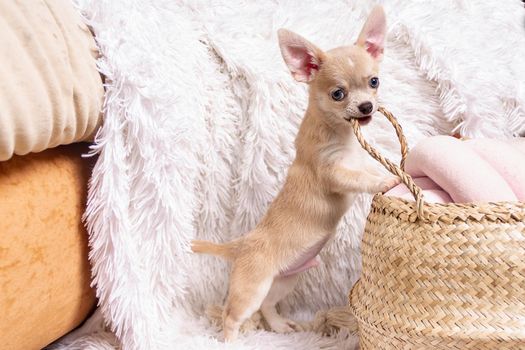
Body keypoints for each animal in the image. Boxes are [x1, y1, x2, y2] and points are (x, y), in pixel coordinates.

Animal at [192, 5, 398, 342]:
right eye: (338, 94)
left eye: (374, 82)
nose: (367, 106)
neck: (341, 135)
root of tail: (241, 245)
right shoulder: (332, 173)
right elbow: (361, 179)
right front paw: (386, 180)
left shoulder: (355, 161)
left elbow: (368, 168)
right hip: (251, 289)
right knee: (231, 315)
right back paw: (229, 341)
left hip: (284, 280)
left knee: (267, 306)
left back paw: (279, 326)